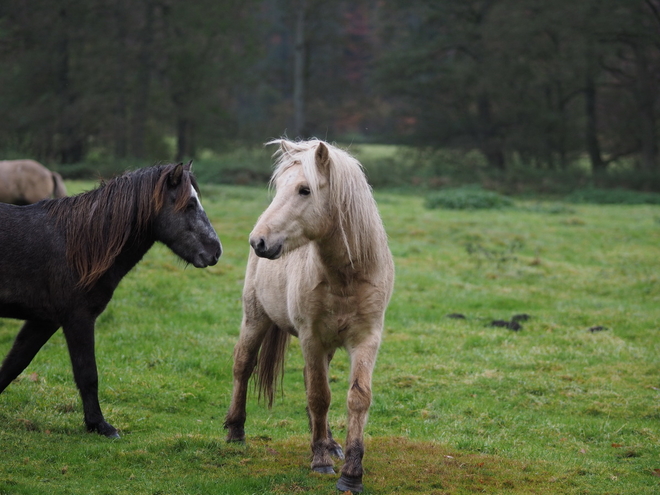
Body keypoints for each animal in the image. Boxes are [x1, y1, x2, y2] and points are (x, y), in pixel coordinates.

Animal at [0, 163, 222, 438]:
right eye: (190, 204)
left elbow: (14, 364)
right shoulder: (78, 319)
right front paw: (99, 425)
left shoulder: (44, 321)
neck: (77, 245)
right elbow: (87, 374)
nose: (216, 251)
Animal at [224, 139, 394, 492]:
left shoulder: (366, 339)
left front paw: (351, 472)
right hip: (255, 319)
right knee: (243, 366)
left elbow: (357, 398)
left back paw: (330, 442)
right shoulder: (310, 337)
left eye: (305, 190)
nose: (258, 241)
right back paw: (236, 431)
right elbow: (319, 396)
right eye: (279, 188)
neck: (345, 278)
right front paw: (320, 461)